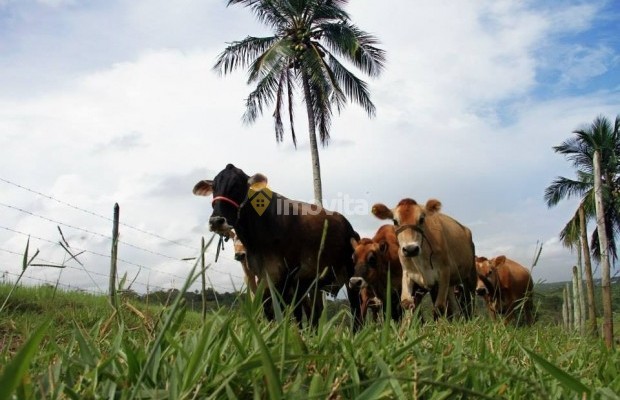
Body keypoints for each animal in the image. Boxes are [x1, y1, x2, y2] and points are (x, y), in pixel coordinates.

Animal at [194, 164, 364, 330]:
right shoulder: (264, 274)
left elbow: (280, 310)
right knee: (316, 312)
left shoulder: (288, 274)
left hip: (350, 276)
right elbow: (269, 309)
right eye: (214, 187)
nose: (216, 221)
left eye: (238, 185)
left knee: (355, 309)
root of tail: (350, 228)